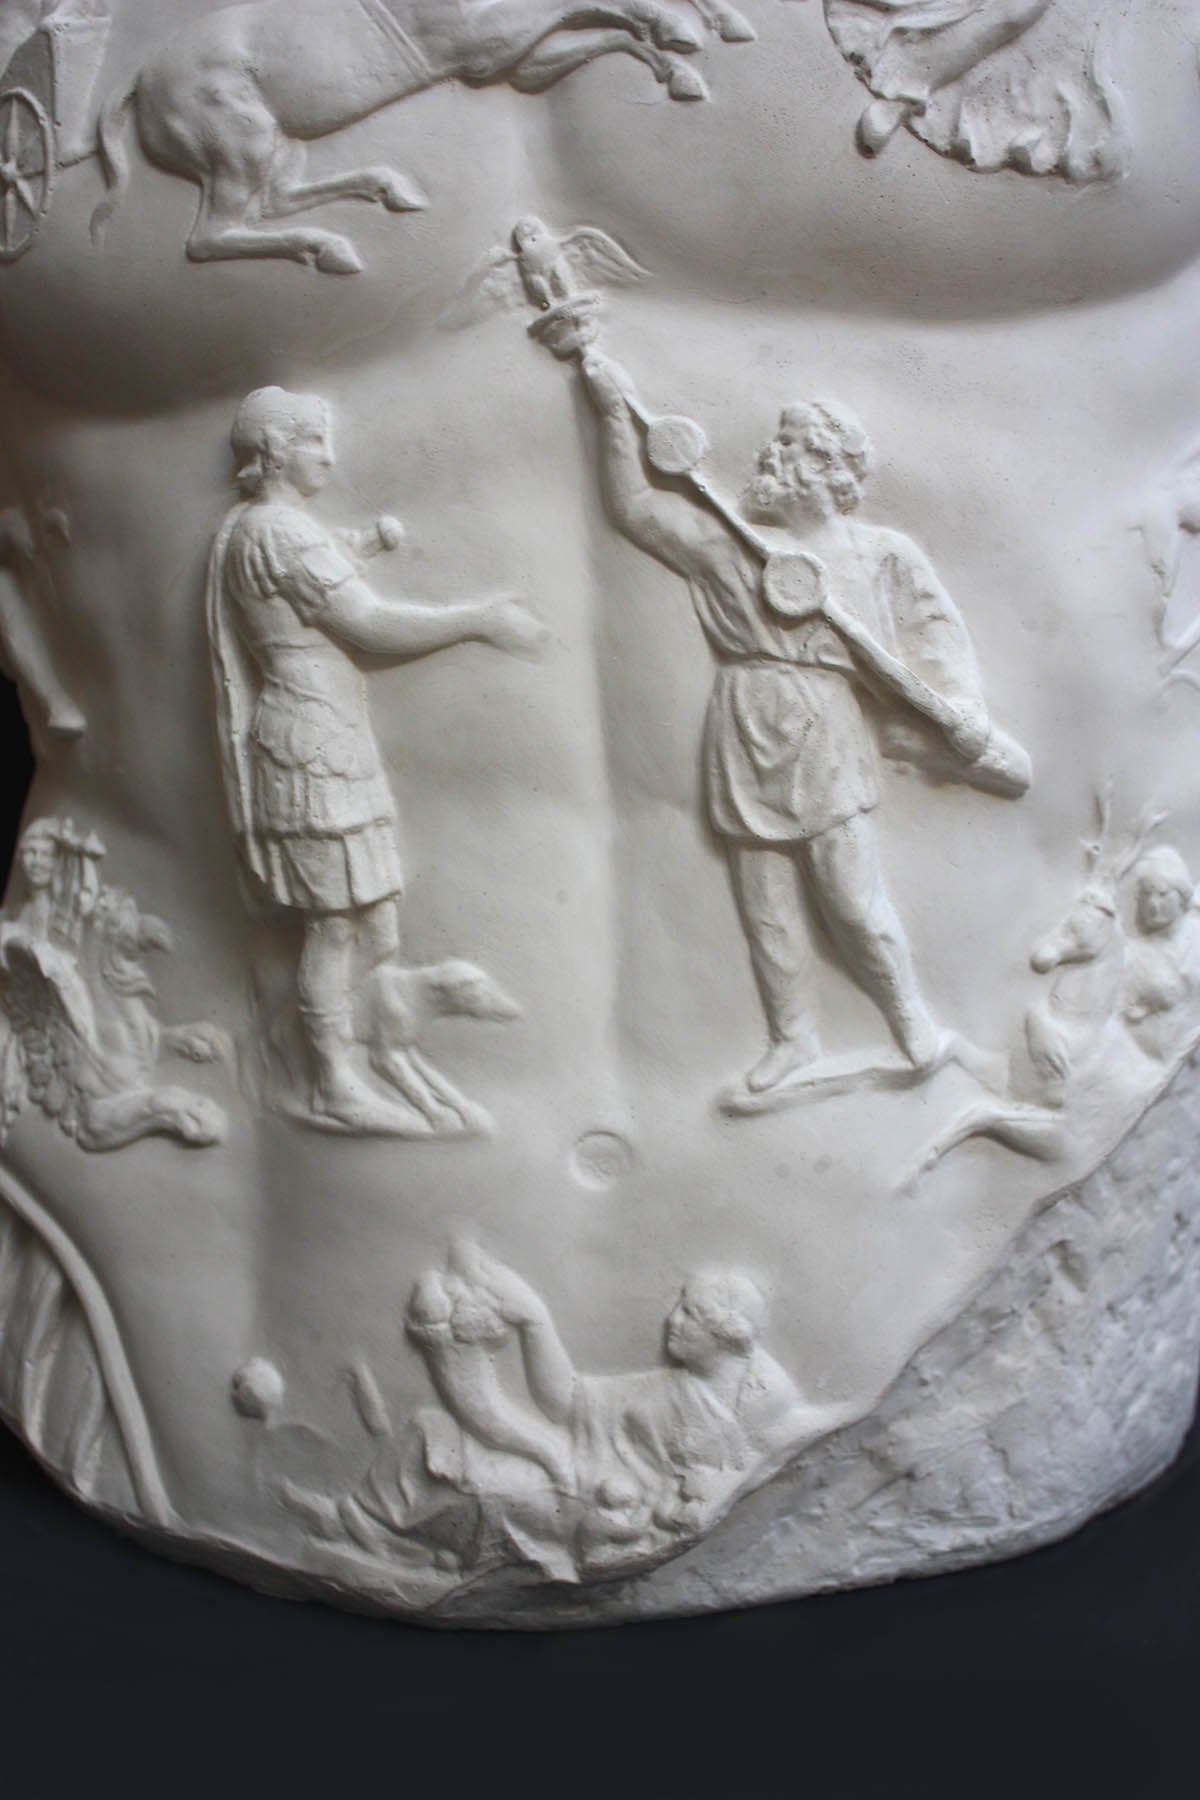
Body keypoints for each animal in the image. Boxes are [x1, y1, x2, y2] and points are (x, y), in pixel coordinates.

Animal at [91, 0, 752, 273]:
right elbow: (600, 10)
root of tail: (138, 84)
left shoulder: (515, 64)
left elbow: (606, 31)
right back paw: (335, 250)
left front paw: (694, 55)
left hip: (279, 141)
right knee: (211, 235)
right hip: (241, 141)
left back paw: (387, 193)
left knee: (269, 204)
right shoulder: (492, 45)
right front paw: (679, 37)